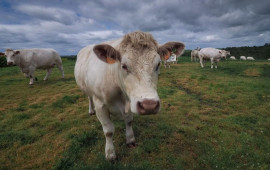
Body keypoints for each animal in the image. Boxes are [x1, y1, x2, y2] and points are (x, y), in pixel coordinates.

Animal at [74, 30, 186, 161]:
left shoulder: (131, 102)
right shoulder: (100, 104)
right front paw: (110, 153)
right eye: (124, 66)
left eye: (158, 64)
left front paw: (130, 139)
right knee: (89, 97)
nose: (149, 105)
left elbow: (129, 121)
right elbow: (108, 131)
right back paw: (91, 110)